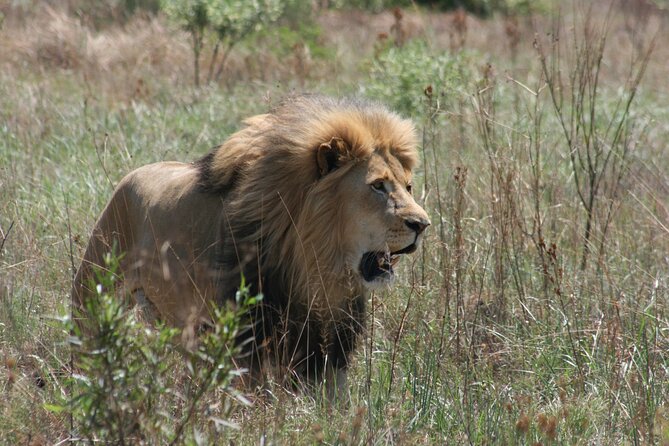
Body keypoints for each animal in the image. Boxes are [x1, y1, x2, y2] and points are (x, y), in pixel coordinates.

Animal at [72, 95, 428, 398]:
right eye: (378, 186)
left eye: (408, 187)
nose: (423, 225)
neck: (316, 267)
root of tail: (132, 174)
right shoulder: (248, 342)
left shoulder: (328, 346)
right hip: (92, 299)